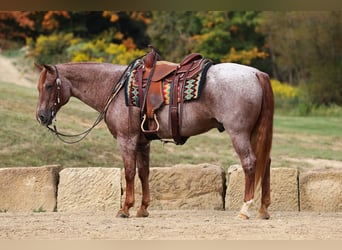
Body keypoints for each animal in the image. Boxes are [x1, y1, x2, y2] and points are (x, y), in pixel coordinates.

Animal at [36, 57, 274, 220]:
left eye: (48, 86)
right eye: (39, 87)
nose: (41, 116)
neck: (116, 87)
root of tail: (256, 73)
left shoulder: (127, 139)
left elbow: (129, 172)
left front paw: (125, 208)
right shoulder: (143, 142)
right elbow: (144, 173)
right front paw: (143, 209)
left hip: (239, 133)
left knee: (250, 163)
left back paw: (245, 209)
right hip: (254, 132)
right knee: (265, 162)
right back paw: (263, 209)